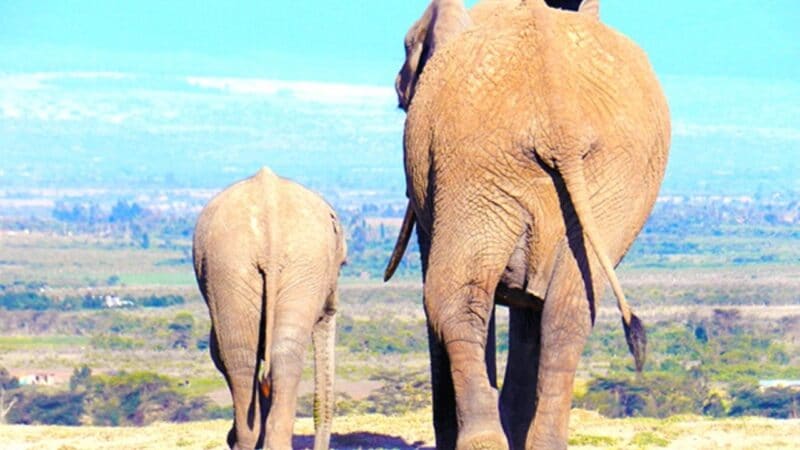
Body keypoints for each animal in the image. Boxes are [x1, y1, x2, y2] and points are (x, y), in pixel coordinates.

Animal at [384, 0, 670, 449]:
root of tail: (561, 123)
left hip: (473, 157)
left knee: (454, 297)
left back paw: (482, 442)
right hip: (618, 176)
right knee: (568, 309)